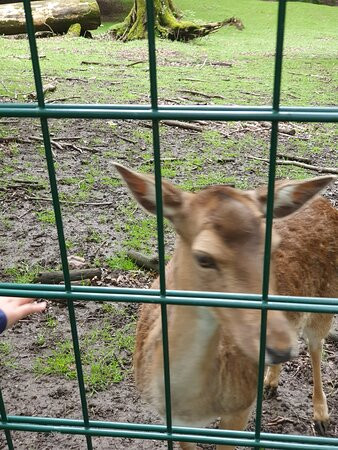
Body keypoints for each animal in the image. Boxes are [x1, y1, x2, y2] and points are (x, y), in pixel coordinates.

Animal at [114, 163, 338, 450]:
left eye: (272, 247)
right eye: (203, 257)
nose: (279, 348)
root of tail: (325, 204)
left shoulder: (240, 407)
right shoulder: (173, 421)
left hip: (325, 302)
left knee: (316, 347)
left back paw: (321, 416)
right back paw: (270, 382)